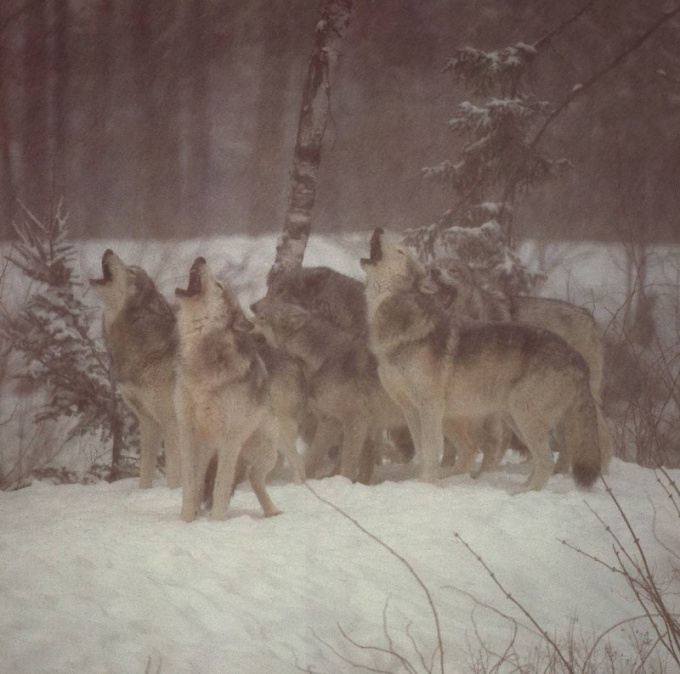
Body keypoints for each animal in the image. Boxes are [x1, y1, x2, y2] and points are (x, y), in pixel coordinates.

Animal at [89, 247, 181, 488]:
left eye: (131, 272)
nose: (108, 249)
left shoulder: (172, 423)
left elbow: (174, 475)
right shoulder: (148, 422)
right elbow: (145, 473)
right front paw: (144, 493)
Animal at [177, 256, 282, 520]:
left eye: (219, 285)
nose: (201, 258)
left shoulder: (230, 439)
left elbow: (221, 487)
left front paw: (216, 522)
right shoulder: (186, 432)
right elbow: (190, 486)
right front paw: (186, 521)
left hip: (266, 454)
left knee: (255, 480)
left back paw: (272, 512)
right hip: (208, 451)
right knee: (201, 482)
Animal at [362, 228, 600, 490]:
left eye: (401, 251)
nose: (379, 229)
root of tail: (576, 357)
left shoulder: (430, 407)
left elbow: (431, 453)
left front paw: (428, 486)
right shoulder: (410, 409)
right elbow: (424, 454)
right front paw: (421, 484)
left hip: (522, 416)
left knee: (545, 461)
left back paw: (520, 494)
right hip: (512, 418)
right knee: (533, 460)